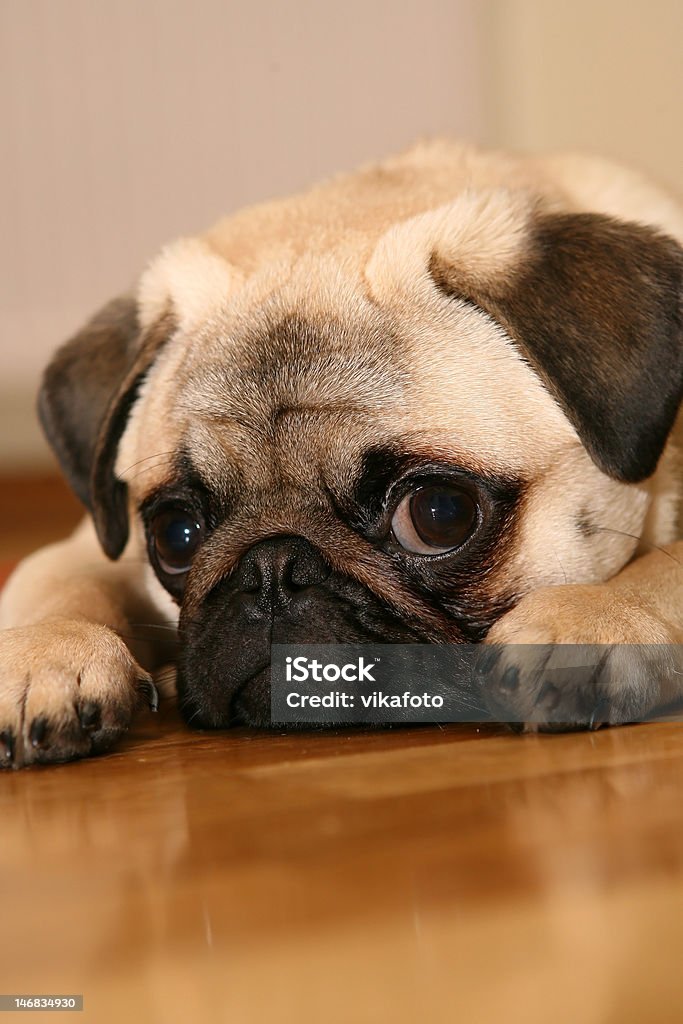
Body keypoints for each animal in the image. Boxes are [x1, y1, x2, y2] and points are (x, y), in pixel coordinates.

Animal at [1, 138, 683, 770]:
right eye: (176, 534)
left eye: (438, 514)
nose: (271, 567)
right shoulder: (92, 543)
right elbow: (58, 579)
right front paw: (43, 653)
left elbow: (665, 567)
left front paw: (587, 615)